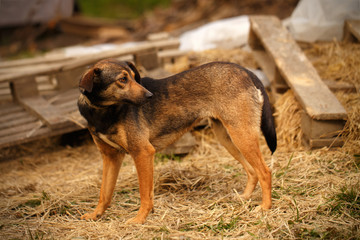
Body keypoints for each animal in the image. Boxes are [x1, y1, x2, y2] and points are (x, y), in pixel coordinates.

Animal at [78, 59, 276, 224]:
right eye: (122, 79)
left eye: (134, 77)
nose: (150, 96)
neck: (103, 112)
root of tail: (246, 71)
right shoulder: (111, 157)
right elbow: (104, 193)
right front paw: (95, 215)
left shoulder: (142, 153)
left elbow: (145, 195)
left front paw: (139, 219)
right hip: (228, 138)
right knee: (253, 171)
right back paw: (245, 197)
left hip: (242, 135)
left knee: (265, 172)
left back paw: (265, 207)